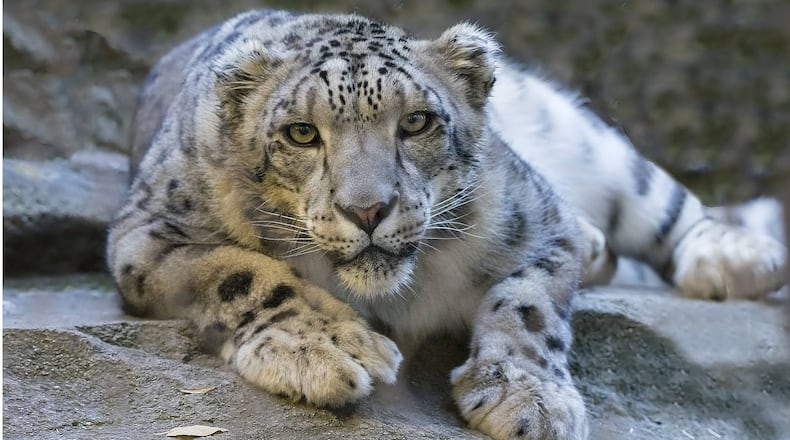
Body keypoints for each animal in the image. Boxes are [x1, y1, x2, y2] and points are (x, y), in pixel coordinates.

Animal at [107, 9, 788, 440]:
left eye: (416, 123)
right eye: (301, 133)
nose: (368, 209)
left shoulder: (542, 219)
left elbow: (530, 304)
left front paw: (526, 398)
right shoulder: (148, 234)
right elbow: (240, 271)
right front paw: (328, 349)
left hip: (586, 140)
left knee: (662, 200)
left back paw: (737, 258)